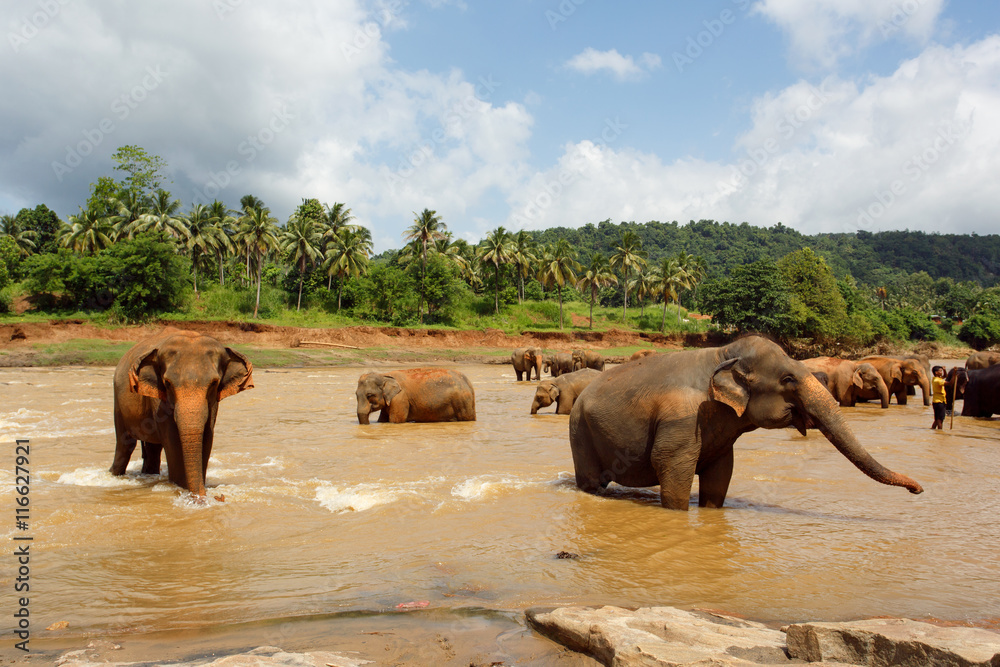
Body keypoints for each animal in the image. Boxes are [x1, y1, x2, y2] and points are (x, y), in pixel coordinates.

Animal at [110, 328, 254, 497]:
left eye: (214, 383)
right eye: (167, 383)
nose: (218, 497)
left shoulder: (213, 403)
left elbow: (207, 437)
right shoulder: (159, 400)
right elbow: (172, 440)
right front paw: (180, 487)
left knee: (152, 448)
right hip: (118, 400)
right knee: (125, 444)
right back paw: (114, 474)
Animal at [568, 335, 923, 510]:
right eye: (788, 379)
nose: (918, 489)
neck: (722, 355)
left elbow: (721, 473)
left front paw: (711, 511)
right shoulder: (681, 417)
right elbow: (671, 464)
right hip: (579, 431)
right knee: (591, 483)